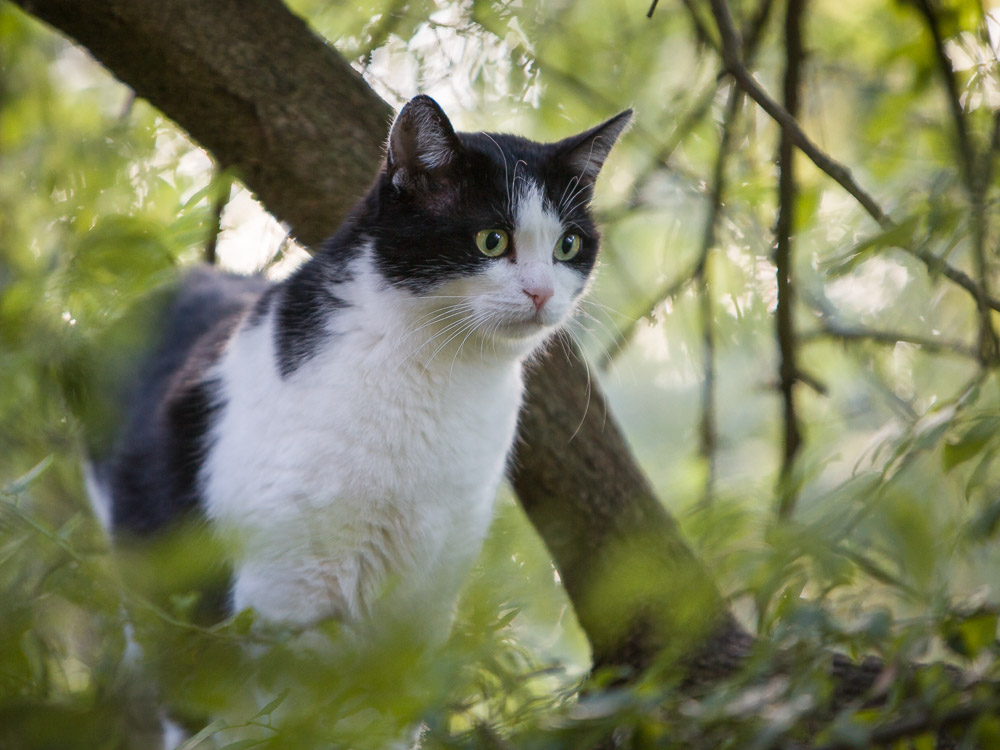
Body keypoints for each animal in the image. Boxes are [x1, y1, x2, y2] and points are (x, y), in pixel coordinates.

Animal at [88, 94, 632, 644]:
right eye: (492, 240)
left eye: (567, 245)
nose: (542, 292)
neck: (443, 376)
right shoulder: (284, 602)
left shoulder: (424, 610)